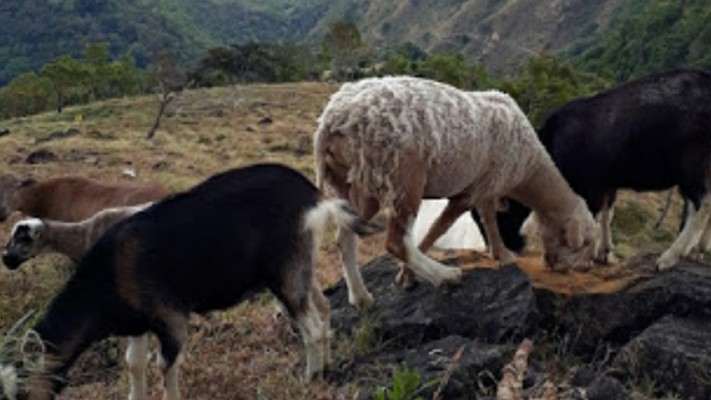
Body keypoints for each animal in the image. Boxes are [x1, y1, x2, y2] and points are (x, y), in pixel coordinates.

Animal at [472, 69, 711, 268]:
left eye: (500, 216)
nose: (499, 251)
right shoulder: (605, 182)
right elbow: (605, 214)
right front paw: (603, 253)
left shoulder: (589, 185)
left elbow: (589, 217)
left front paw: (580, 258)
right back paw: (698, 250)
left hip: (692, 164)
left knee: (701, 206)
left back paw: (670, 257)